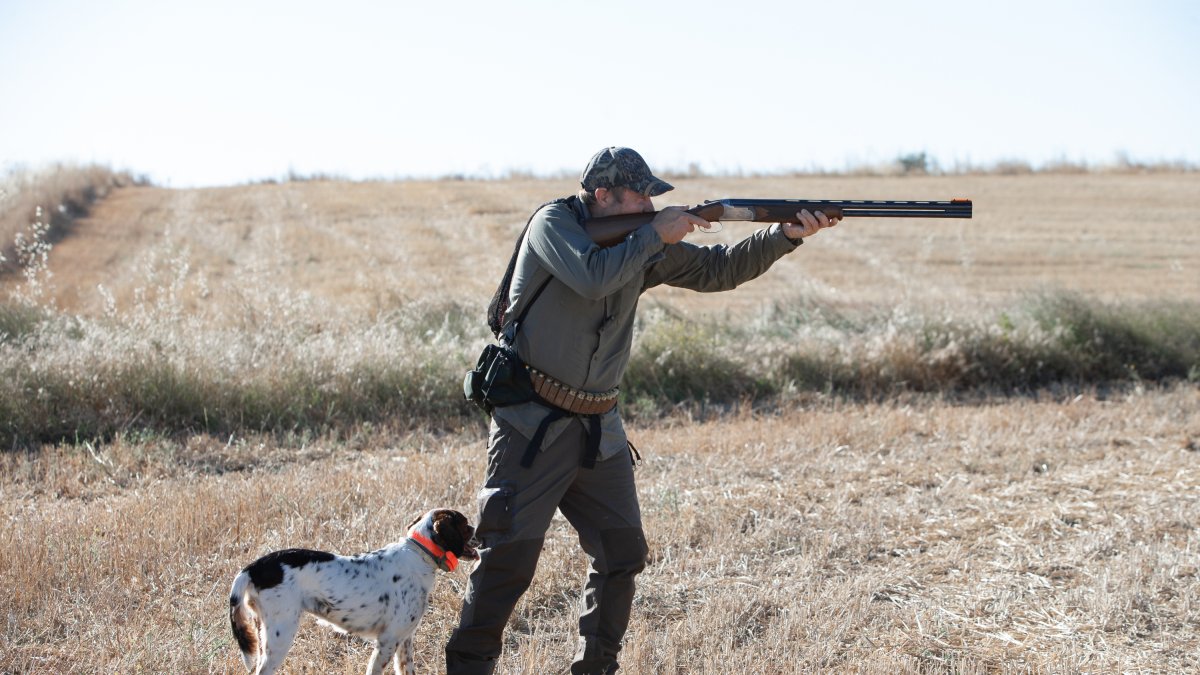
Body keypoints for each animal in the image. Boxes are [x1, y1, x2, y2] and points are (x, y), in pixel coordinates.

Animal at [229, 504, 477, 672]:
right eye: (465, 525)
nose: (477, 529)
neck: (418, 554)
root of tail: (253, 567)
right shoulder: (388, 640)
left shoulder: (405, 640)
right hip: (281, 635)